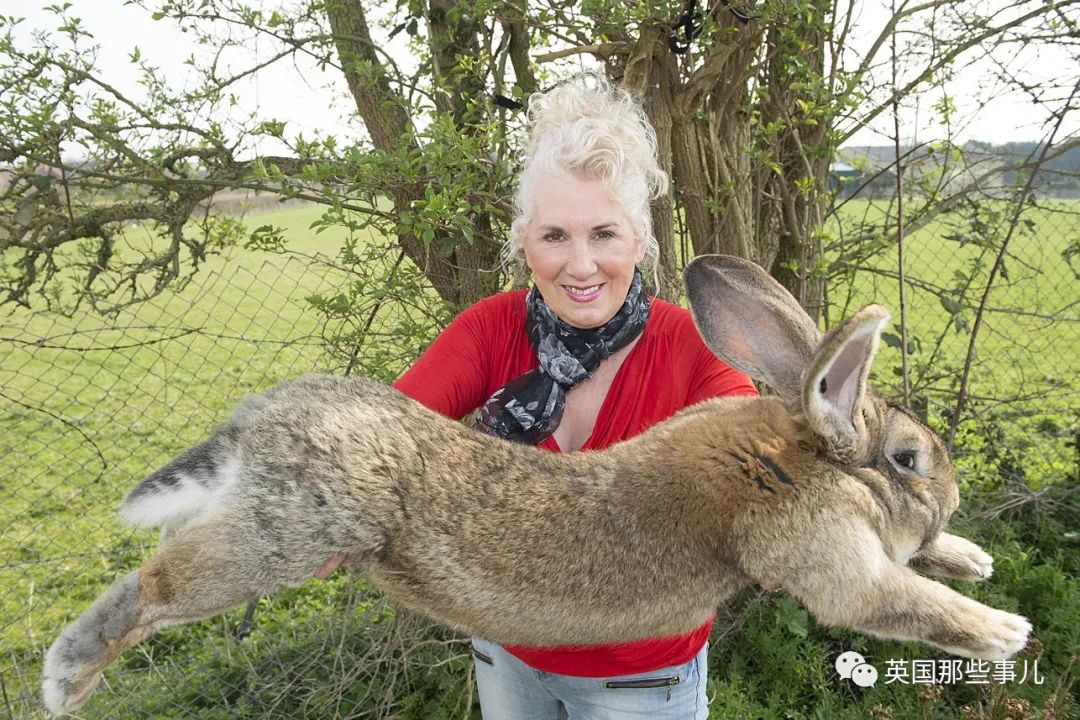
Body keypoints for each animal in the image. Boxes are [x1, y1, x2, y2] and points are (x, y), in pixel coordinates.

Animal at [42, 253, 1032, 716]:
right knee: (154, 587)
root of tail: (261, 421)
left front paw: (972, 558)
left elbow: (920, 570)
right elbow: (897, 600)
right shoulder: (831, 561)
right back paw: (67, 680)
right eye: (909, 460)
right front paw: (1003, 630)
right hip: (284, 538)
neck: (801, 455)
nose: (949, 496)